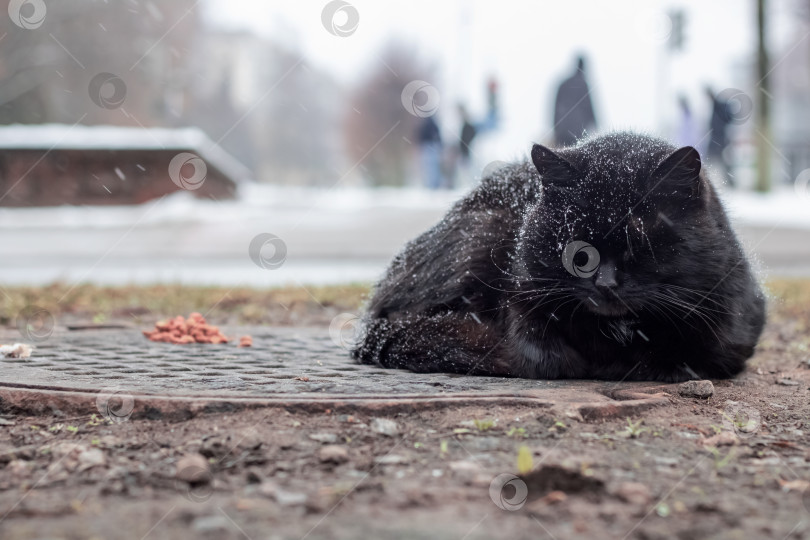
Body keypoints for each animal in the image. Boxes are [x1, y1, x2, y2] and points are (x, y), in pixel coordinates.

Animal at [352, 133, 764, 382]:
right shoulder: (523, 299)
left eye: (641, 242)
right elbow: (545, 358)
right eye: (579, 254)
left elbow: (681, 361)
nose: (605, 282)